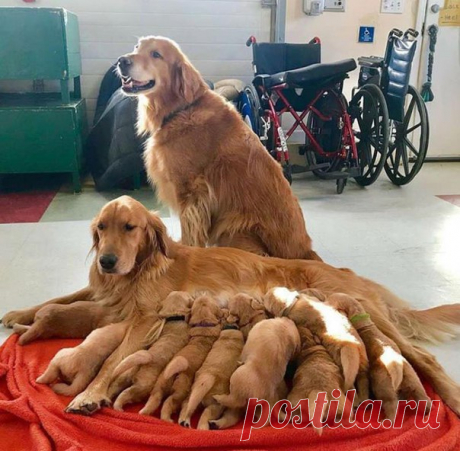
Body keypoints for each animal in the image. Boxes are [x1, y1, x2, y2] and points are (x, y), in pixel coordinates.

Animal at [117, 37, 322, 264]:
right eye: (137, 47)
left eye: (156, 54)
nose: (121, 61)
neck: (182, 109)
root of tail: (305, 253)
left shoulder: (191, 192)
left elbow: (190, 233)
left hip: (235, 230)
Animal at [142, 294, 225, 422]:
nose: (203, 293)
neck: (203, 323)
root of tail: (174, 370)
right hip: (181, 389)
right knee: (170, 401)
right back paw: (168, 418)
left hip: (161, 383)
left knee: (156, 397)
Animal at [328, 294, 432, 422]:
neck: (365, 323)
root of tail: (397, 366)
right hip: (414, 380)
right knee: (422, 396)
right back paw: (426, 410)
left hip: (383, 387)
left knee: (391, 405)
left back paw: (386, 420)